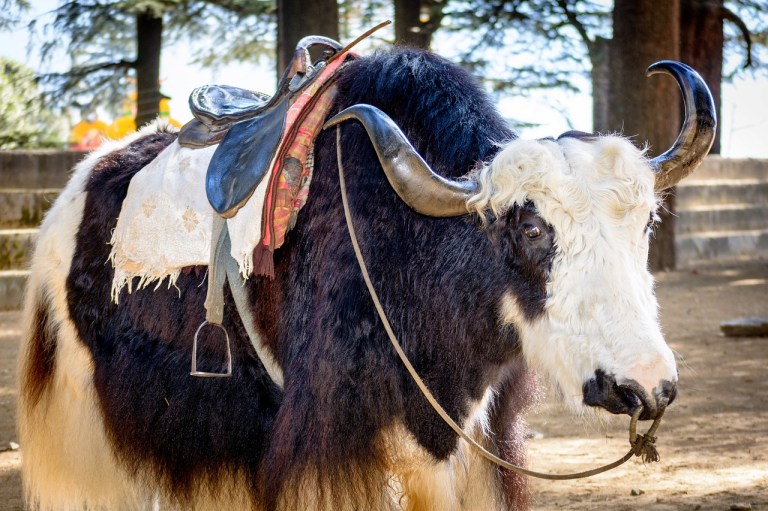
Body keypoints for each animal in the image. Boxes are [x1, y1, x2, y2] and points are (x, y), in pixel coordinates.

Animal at [17, 47, 714, 511]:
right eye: (530, 229)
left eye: (648, 222)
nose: (645, 386)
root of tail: (75, 188)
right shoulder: (334, 452)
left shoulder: (464, 448)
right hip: (90, 421)